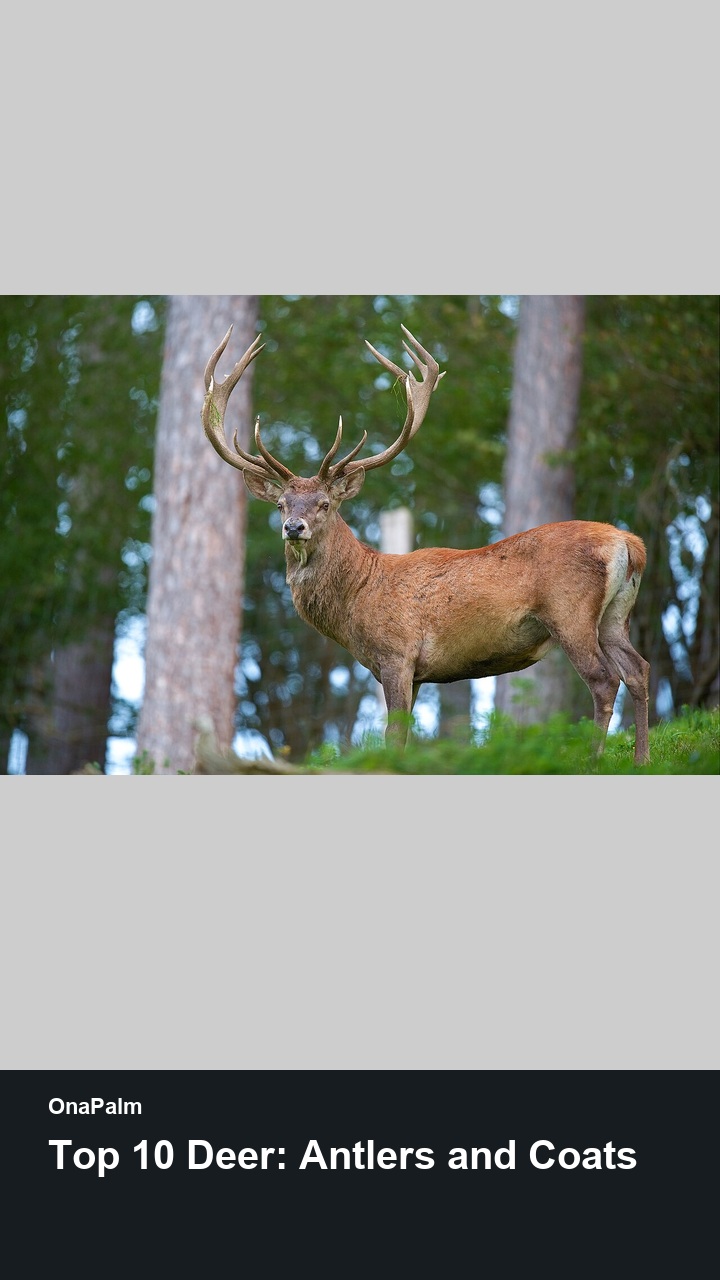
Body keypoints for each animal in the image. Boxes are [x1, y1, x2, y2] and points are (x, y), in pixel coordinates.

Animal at [201, 325, 651, 765]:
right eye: (281, 504)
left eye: (324, 504)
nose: (293, 527)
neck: (358, 597)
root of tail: (630, 543)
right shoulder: (414, 672)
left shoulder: (397, 654)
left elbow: (393, 735)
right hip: (615, 615)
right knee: (638, 669)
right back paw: (642, 760)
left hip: (570, 611)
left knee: (604, 680)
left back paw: (593, 761)